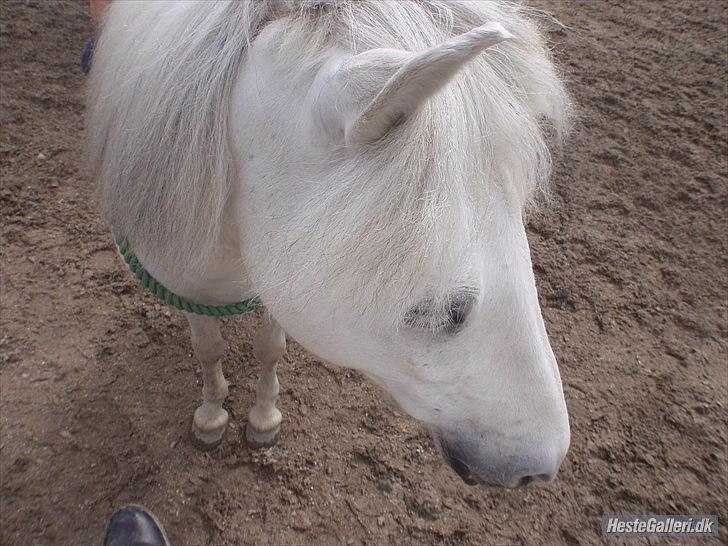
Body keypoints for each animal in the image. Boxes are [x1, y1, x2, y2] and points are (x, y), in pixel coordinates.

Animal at [88, 0, 572, 484]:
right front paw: (211, 416)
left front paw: (263, 418)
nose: (539, 468)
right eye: (443, 312)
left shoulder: (278, 281)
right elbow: (208, 350)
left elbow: (270, 349)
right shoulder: (185, 283)